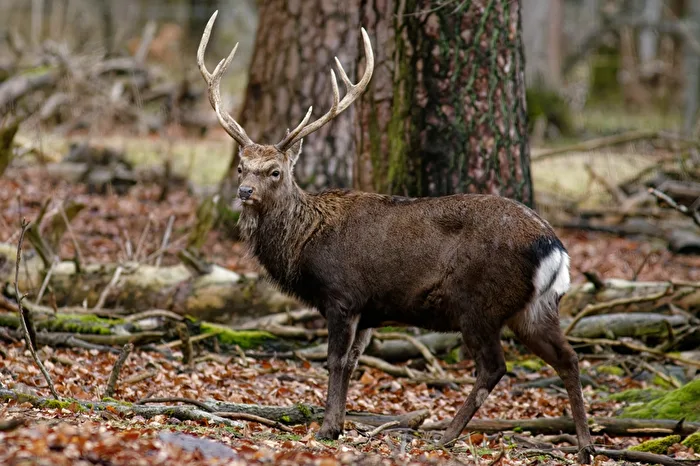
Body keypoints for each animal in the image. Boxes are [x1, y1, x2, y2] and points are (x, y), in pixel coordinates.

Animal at [196, 11, 594, 464]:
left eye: (275, 171)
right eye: (241, 166)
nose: (244, 191)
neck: (304, 242)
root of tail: (554, 246)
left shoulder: (343, 294)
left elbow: (335, 361)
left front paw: (327, 429)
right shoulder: (370, 310)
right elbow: (353, 363)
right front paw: (339, 424)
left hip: (479, 302)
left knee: (495, 366)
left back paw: (446, 436)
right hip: (536, 307)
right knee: (569, 358)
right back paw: (585, 446)